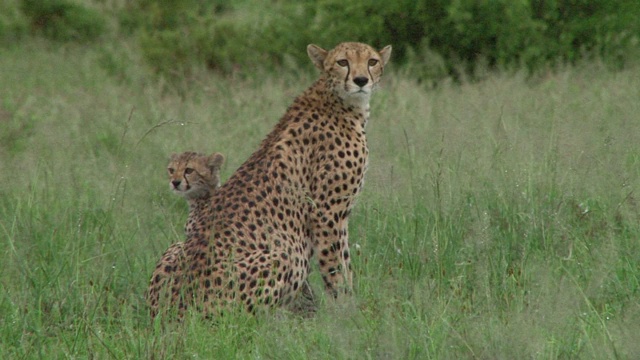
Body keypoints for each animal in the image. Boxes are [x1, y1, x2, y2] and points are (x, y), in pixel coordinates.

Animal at [150, 43, 390, 318]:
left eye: (372, 61)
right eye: (342, 62)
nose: (361, 80)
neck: (338, 100)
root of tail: (172, 311)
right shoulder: (327, 213)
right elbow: (337, 266)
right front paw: (348, 308)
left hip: (175, 246)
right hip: (282, 257)